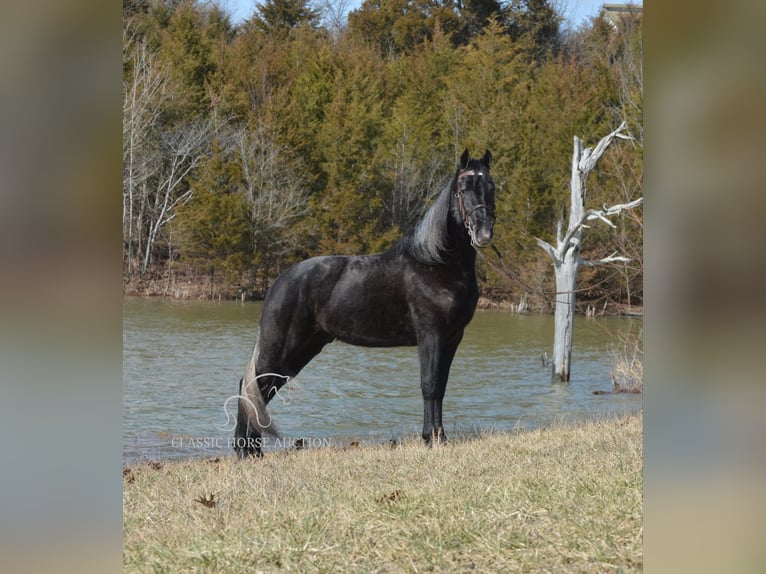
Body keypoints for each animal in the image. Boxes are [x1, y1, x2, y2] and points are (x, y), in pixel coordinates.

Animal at [234, 148, 498, 460]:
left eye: (491, 187)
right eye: (463, 188)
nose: (483, 233)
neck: (436, 263)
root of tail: (280, 281)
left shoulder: (452, 338)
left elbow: (441, 387)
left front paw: (438, 438)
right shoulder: (431, 335)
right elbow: (429, 385)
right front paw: (431, 438)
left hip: (302, 350)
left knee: (260, 391)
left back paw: (253, 451)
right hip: (284, 348)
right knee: (251, 386)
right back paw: (244, 451)